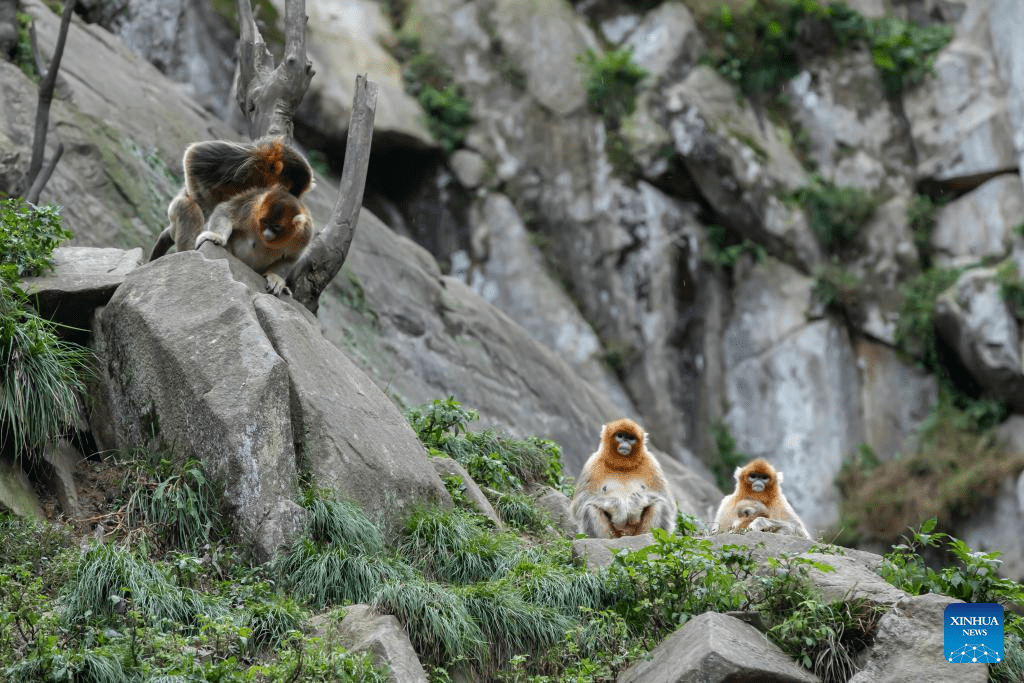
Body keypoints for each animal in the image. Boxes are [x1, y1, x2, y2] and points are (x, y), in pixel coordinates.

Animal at [149, 137, 313, 260]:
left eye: (294, 194)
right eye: (287, 189)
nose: (290, 195)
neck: (262, 177)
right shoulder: (250, 157)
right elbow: (194, 154)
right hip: (174, 210)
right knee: (188, 207)